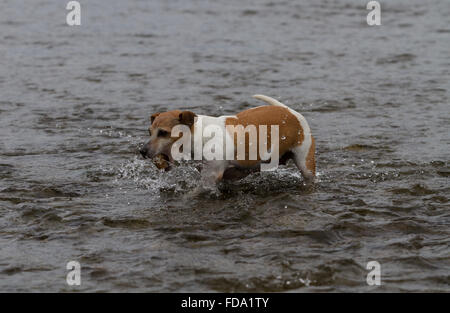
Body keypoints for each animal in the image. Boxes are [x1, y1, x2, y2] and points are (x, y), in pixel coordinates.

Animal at [139, 94, 314, 184]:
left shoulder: (213, 175)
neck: (201, 135)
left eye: (163, 133)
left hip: (305, 163)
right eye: (149, 132)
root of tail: (291, 112)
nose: (142, 151)